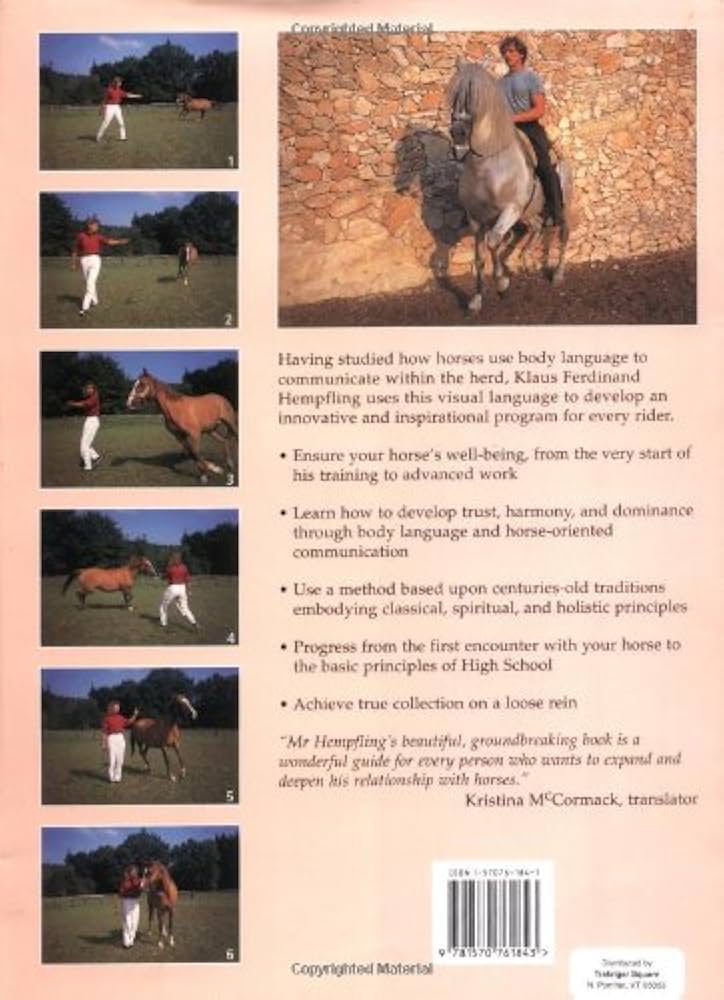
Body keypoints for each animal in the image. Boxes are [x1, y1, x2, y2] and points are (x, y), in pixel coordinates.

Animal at [446, 60, 572, 312]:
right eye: (454, 96)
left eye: (475, 97)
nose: (458, 139)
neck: (486, 166)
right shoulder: (476, 219)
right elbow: (480, 256)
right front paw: (477, 300)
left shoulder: (510, 209)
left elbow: (494, 241)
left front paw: (501, 283)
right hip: (527, 214)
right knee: (536, 227)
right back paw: (525, 261)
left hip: (558, 206)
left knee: (563, 232)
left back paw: (557, 275)